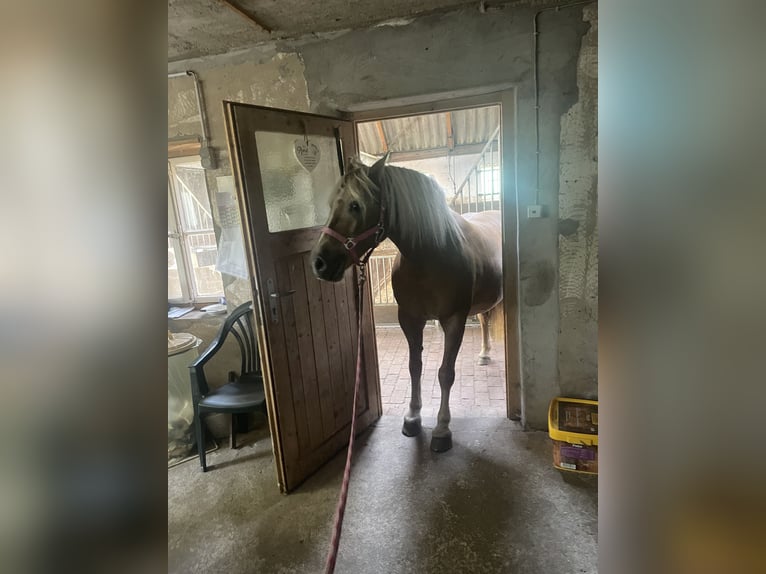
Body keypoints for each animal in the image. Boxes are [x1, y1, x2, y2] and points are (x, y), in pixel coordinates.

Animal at [312, 155, 504, 452]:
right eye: (332, 204)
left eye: (356, 205)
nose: (320, 263)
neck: (429, 255)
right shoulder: (410, 318)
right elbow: (415, 367)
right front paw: (413, 417)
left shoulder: (454, 320)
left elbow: (445, 373)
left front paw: (441, 429)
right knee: (484, 320)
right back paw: (484, 353)